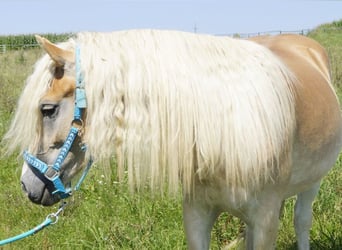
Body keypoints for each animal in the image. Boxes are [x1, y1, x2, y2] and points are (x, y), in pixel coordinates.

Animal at [3, 30, 342, 249]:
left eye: (47, 109)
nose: (27, 185)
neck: (223, 125)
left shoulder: (266, 219)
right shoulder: (197, 214)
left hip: (311, 185)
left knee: (302, 221)